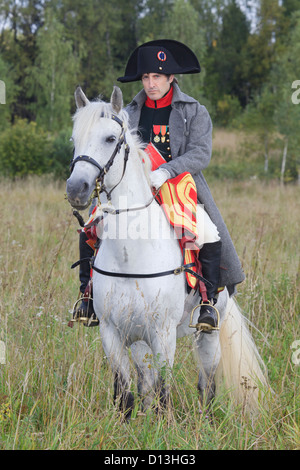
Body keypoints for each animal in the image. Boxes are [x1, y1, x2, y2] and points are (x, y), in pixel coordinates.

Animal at [67, 86, 268, 420]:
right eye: (74, 139)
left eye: (110, 138)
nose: (76, 189)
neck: (131, 255)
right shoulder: (112, 332)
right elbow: (126, 394)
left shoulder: (163, 333)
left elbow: (164, 391)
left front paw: (161, 424)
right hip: (139, 339)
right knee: (145, 382)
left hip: (207, 333)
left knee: (206, 382)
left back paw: (206, 421)